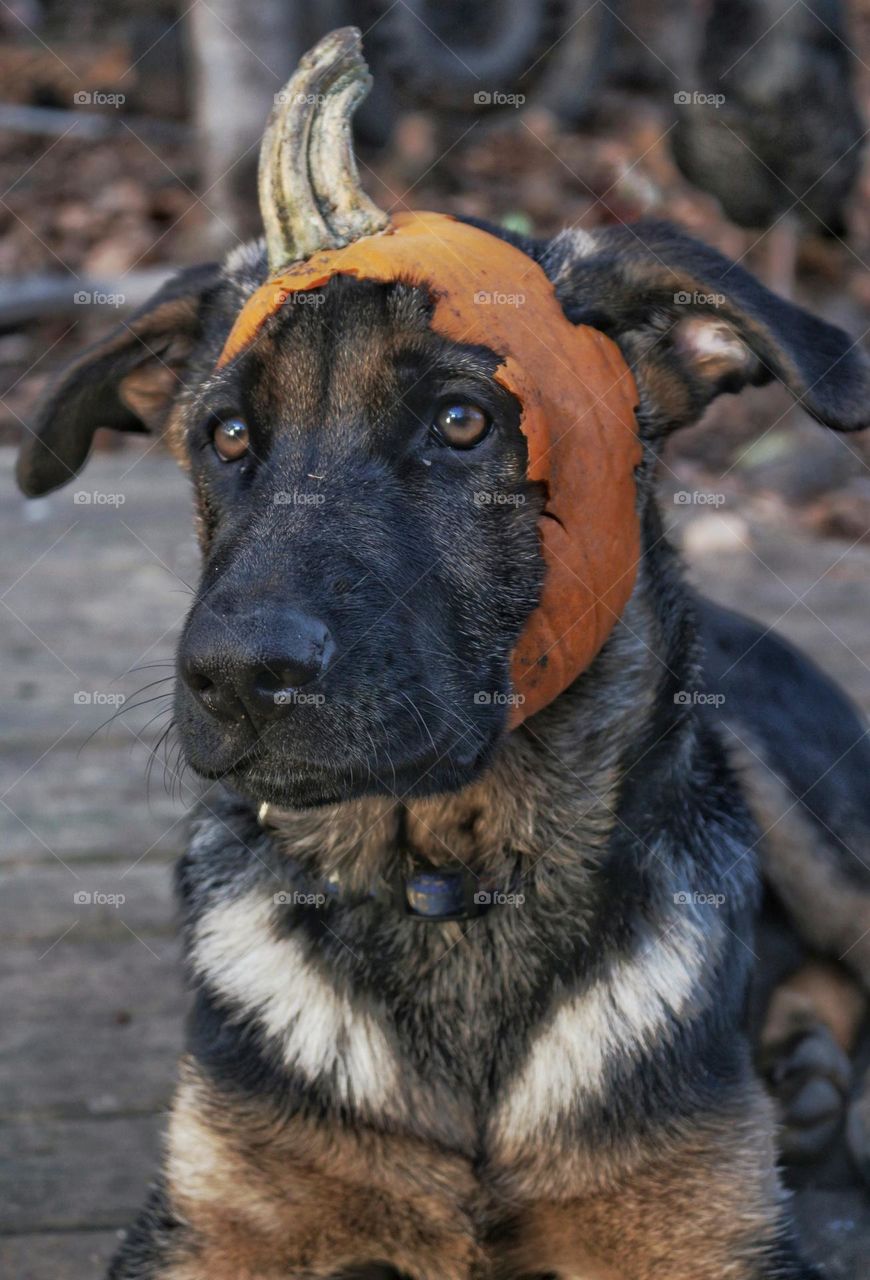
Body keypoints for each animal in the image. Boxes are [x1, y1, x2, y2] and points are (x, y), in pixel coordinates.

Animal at [13, 27, 870, 1280]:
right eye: (227, 436)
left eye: (463, 422)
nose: (233, 676)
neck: (447, 882)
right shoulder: (206, 1223)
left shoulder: (711, 1234)